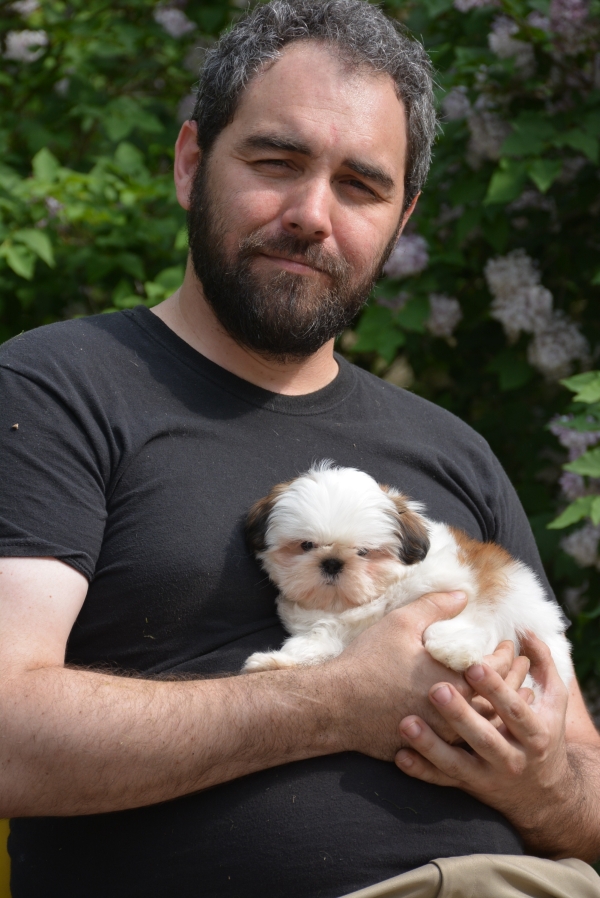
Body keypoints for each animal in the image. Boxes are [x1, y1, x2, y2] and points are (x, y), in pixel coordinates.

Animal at [243, 462, 572, 688]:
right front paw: (275, 661)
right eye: (306, 545)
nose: (332, 563)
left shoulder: (458, 592)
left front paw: (455, 650)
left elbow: (449, 623)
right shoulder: (330, 629)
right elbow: (316, 644)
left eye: (364, 551)